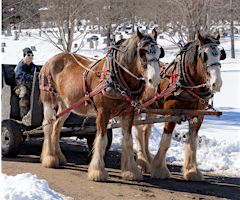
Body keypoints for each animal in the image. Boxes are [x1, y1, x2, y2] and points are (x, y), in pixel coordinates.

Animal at [39, 28, 163, 181]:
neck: (115, 77)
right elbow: (101, 140)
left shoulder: (128, 113)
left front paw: (131, 172)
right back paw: (50, 158)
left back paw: (59, 157)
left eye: (159, 52)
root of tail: (50, 60)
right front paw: (97, 172)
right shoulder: (103, 113)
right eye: (142, 52)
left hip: (66, 104)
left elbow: (128, 141)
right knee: (48, 126)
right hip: (48, 99)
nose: (155, 80)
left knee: (57, 126)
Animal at [134, 32, 226, 180]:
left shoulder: (197, 116)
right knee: (138, 133)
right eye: (204, 55)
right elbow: (166, 142)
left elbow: (193, 142)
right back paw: (142, 163)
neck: (186, 83)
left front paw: (192, 171)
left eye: (220, 54)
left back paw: (147, 159)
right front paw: (160, 170)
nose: (216, 83)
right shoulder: (170, 114)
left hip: (151, 108)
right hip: (136, 107)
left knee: (146, 132)